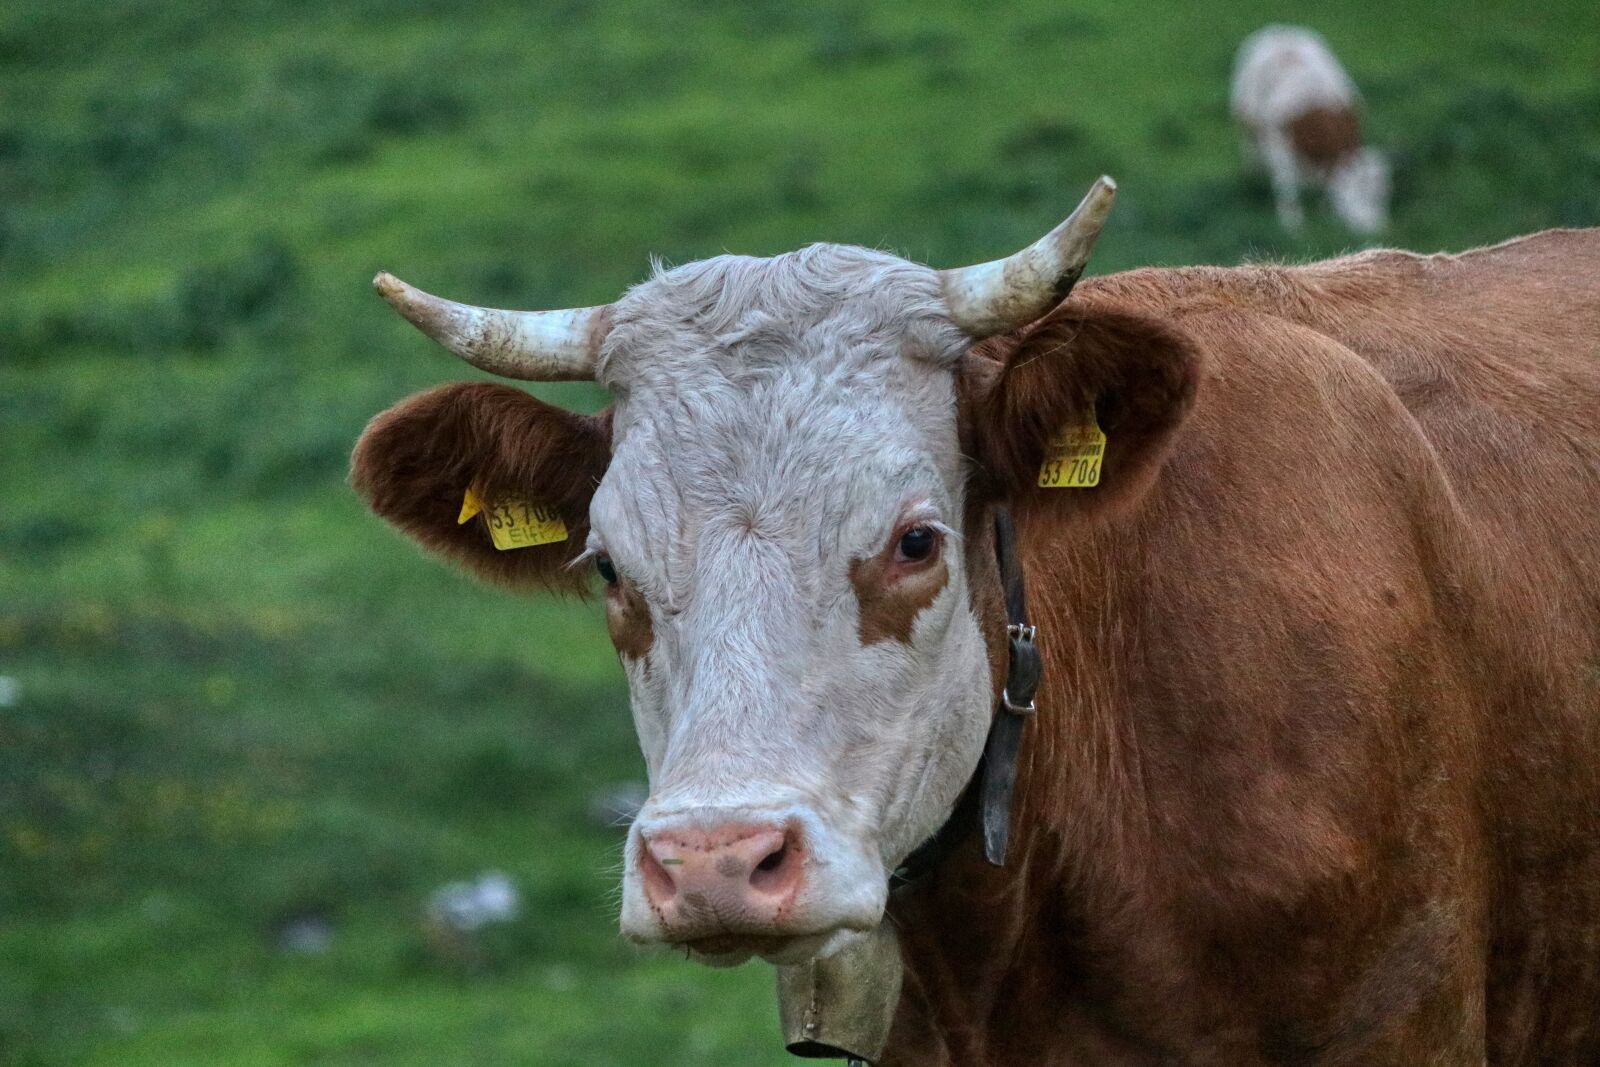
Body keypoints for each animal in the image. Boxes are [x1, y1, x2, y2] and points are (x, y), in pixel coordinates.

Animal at [1231, 25, 1391, 235]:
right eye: (1355, 190)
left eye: (1380, 193)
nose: (1375, 227)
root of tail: (1281, 30)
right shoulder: (1279, 145)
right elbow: (1285, 182)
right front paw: (1292, 221)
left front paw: (1324, 209)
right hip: (1248, 122)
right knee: (1250, 149)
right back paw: (1252, 174)